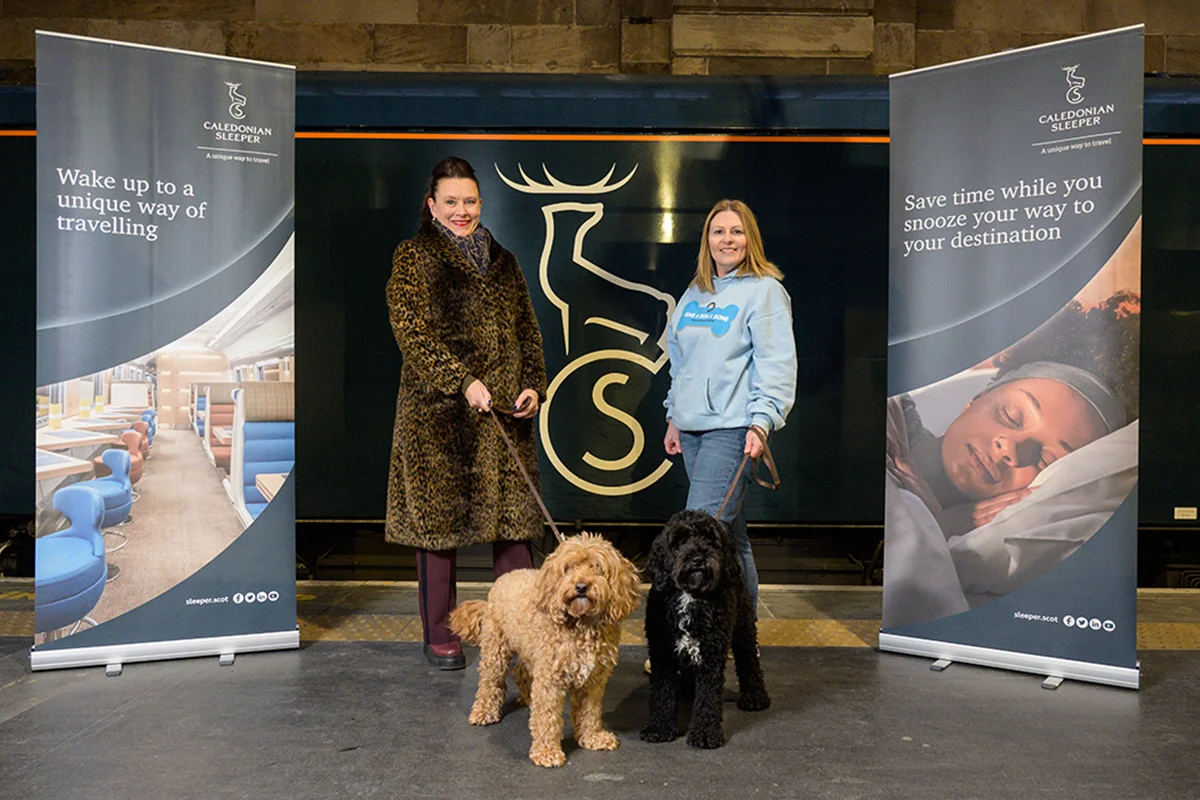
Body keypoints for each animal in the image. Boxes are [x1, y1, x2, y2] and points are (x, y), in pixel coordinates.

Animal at [448, 534, 638, 767]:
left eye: (597, 567)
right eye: (569, 568)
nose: (581, 586)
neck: (582, 624)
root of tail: (505, 577)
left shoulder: (593, 681)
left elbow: (590, 712)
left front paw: (593, 737)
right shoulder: (550, 680)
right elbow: (547, 717)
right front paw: (547, 751)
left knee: (521, 671)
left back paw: (528, 698)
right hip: (496, 649)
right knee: (490, 682)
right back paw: (484, 711)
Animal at [638, 510, 768, 748]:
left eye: (710, 539)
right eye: (679, 541)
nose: (698, 558)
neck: (691, 595)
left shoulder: (711, 654)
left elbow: (708, 697)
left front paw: (705, 733)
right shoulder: (662, 653)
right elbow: (661, 693)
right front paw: (659, 728)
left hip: (743, 630)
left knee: (749, 662)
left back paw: (755, 697)